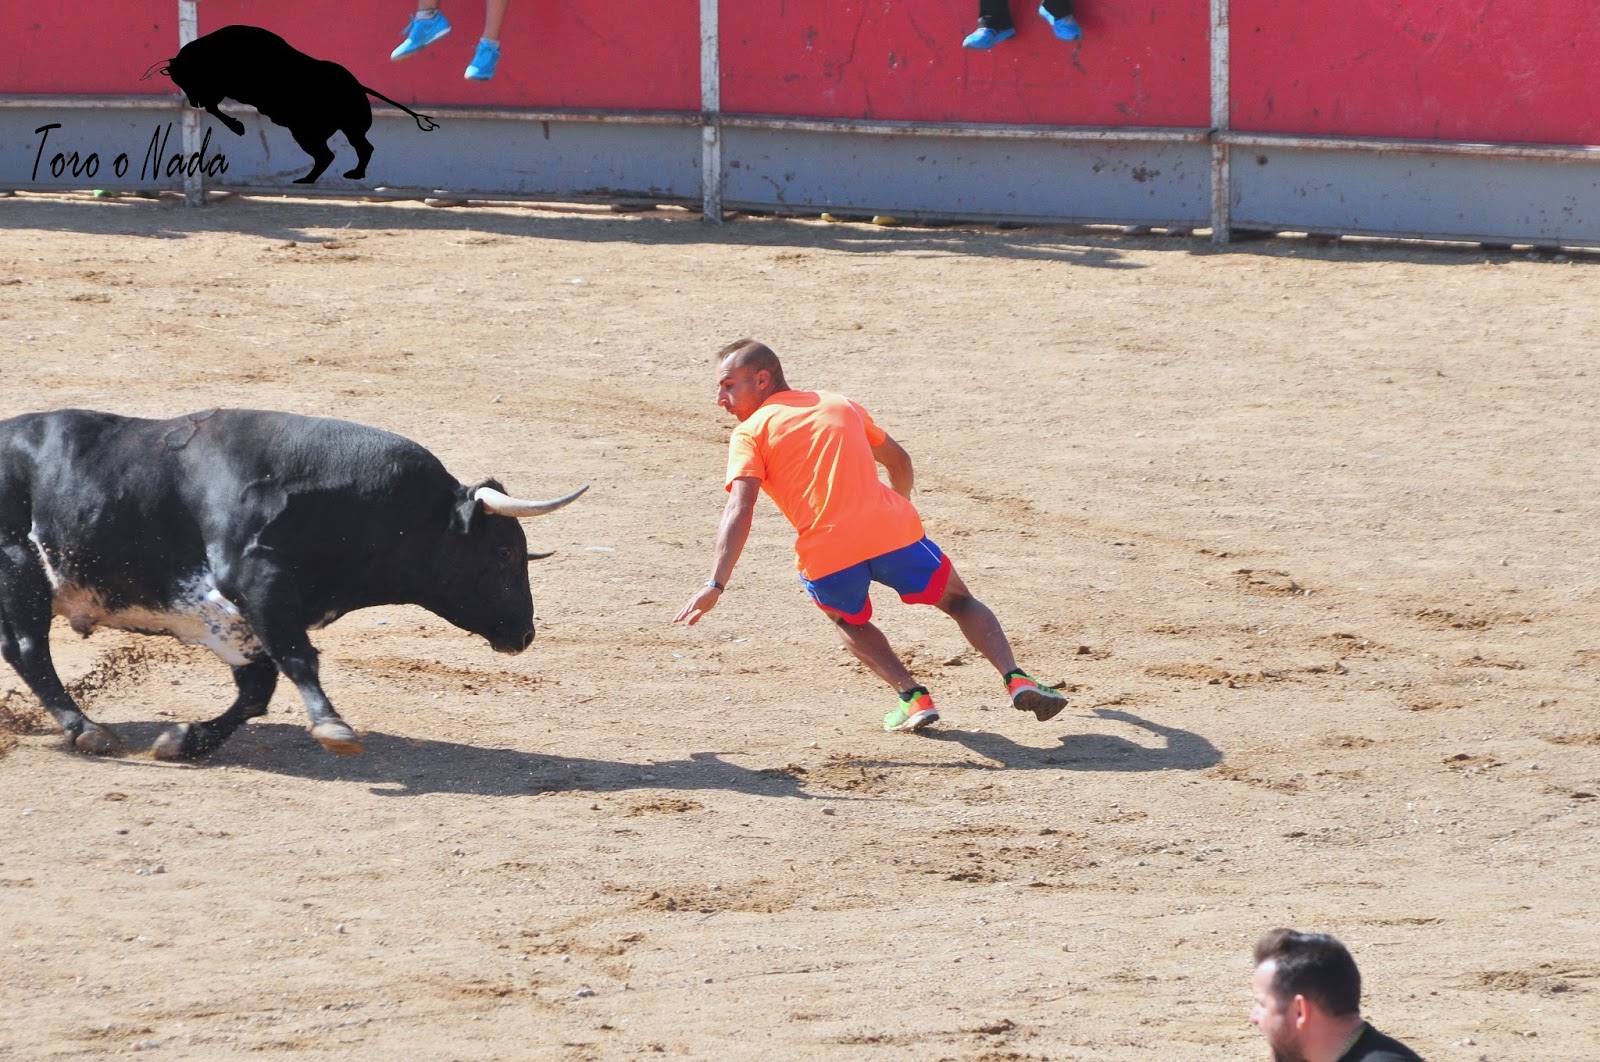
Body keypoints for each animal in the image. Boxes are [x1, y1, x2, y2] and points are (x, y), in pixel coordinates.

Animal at [0, 408, 585, 761]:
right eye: (503, 552)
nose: (525, 634)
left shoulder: (242, 622)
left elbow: (256, 693)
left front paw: (185, 741)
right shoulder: (256, 589)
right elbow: (299, 661)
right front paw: (333, 728)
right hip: (20, 570)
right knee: (29, 649)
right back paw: (86, 729)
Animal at [149, 25, 439, 184]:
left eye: (187, 78)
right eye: (178, 80)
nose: (192, 102)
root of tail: (357, 85)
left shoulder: (223, 87)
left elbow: (214, 105)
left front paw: (237, 126)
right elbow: (214, 106)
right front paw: (237, 125)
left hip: (308, 132)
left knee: (329, 154)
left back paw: (310, 178)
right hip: (345, 130)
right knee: (360, 148)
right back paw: (347, 174)